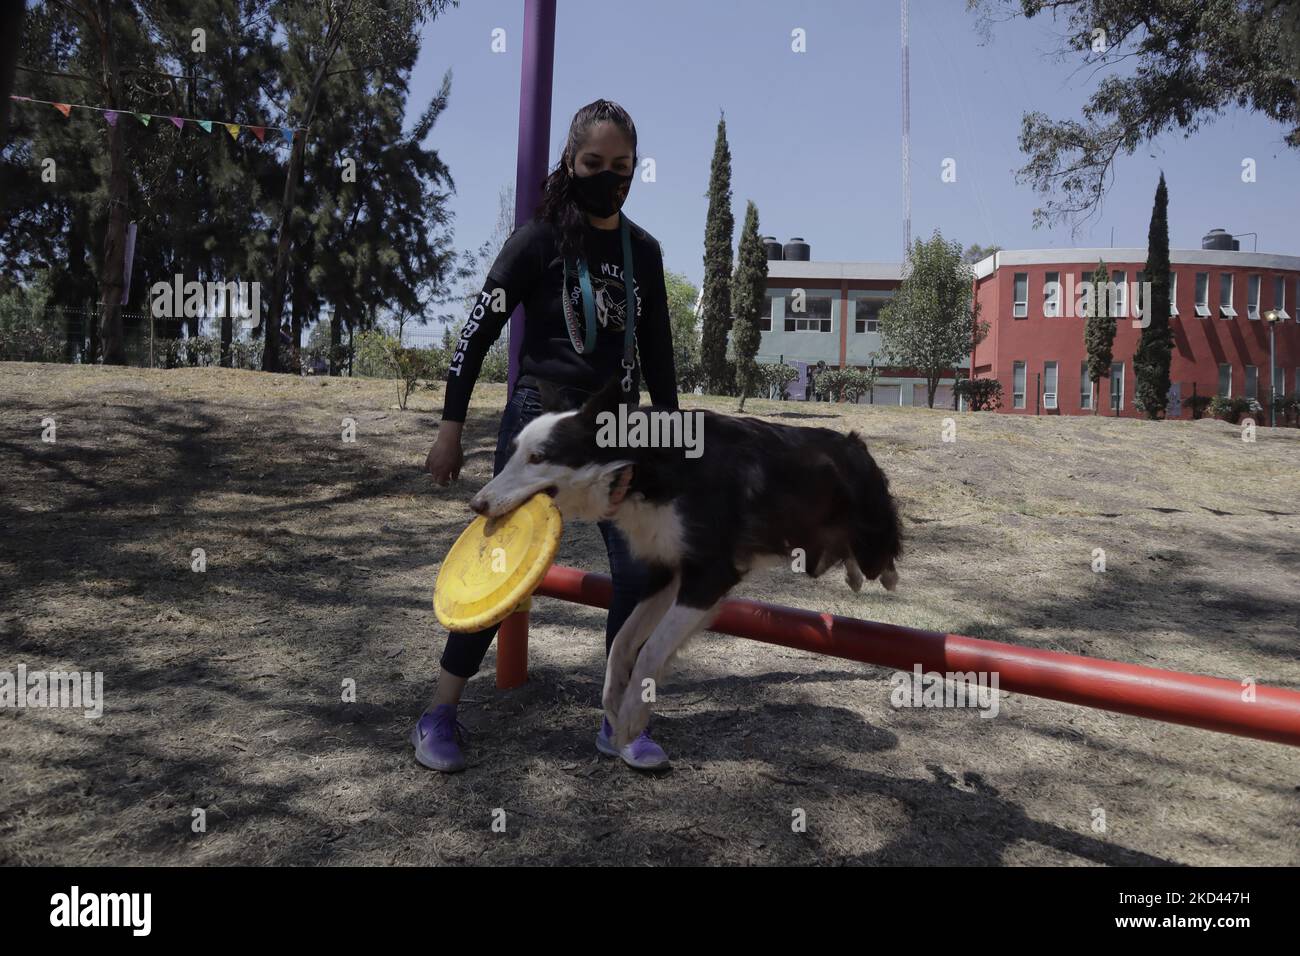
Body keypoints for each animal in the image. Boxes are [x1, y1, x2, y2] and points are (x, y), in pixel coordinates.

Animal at [470, 379, 904, 749]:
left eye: (538, 457)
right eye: (514, 452)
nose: (476, 504)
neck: (641, 464)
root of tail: (856, 444)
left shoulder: (709, 576)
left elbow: (651, 649)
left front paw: (631, 718)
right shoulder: (667, 570)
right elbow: (622, 640)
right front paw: (613, 699)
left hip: (868, 538)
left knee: (882, 561)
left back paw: (878, 575)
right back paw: (852, 576)